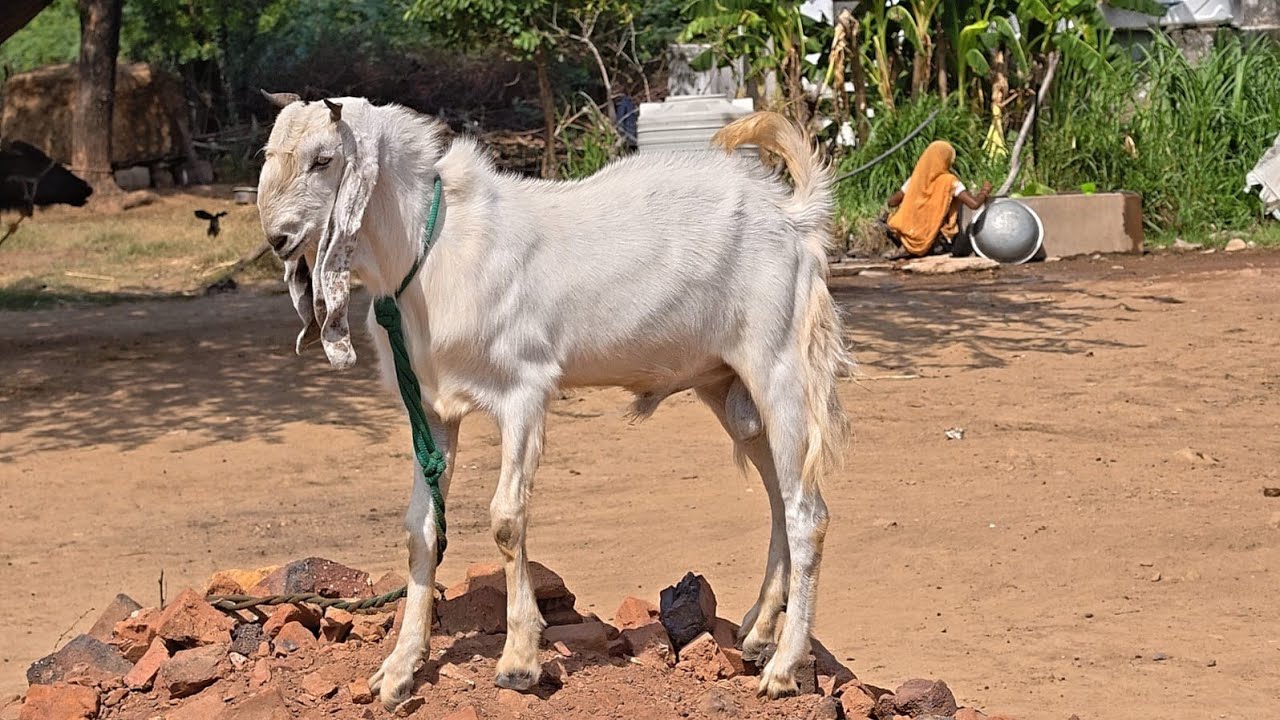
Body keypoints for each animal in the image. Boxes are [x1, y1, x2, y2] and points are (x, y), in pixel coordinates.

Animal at [256, 93, 850, 710]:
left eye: (323, 159)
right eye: (269, 154)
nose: (277, 238)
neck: (433, 245)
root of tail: (795, 216)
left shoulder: (524, 391)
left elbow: (506, 518)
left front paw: (520, 661)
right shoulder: (431, 408)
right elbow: (422, 529)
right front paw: (398, 669)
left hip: (780, 366)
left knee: (808, 514)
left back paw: (783, 666)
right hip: (726, 385)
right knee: (780, 500)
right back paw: (758, 632)